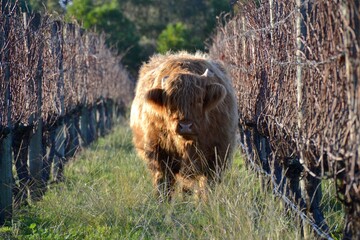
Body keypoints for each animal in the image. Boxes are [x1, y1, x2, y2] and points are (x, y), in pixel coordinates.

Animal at [131, 52, 238, 201]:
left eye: (199, 100)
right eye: (170, 101)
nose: (185, 126)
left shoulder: (216, 156)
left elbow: (208, 185)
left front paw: (207, 202)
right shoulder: (158, 154)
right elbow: (163, 183)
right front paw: (162, 203)